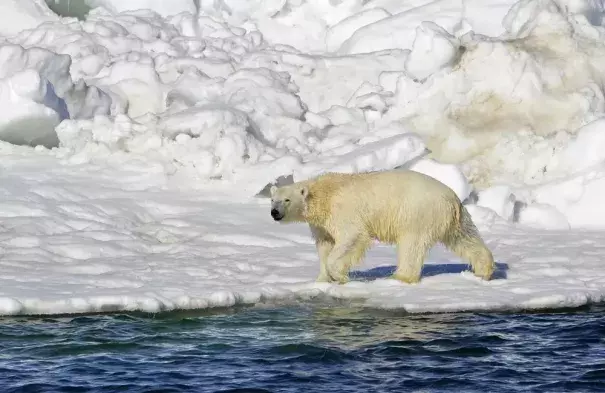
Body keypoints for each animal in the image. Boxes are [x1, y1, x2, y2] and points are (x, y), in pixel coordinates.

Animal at [270, 170, 496, 284]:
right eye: (273, 199)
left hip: (416, 213)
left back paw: (399, 276)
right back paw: (483, 270)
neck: (323, 194)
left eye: (287, 200)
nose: (274, 213)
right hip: (452, 218)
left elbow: (351, 237)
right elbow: (325, 245)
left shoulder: (342, 211)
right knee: (465, 237)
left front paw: (340, 276)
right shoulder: (321, 224)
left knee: (411, 245)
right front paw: (322, 279)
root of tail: (452, 199)